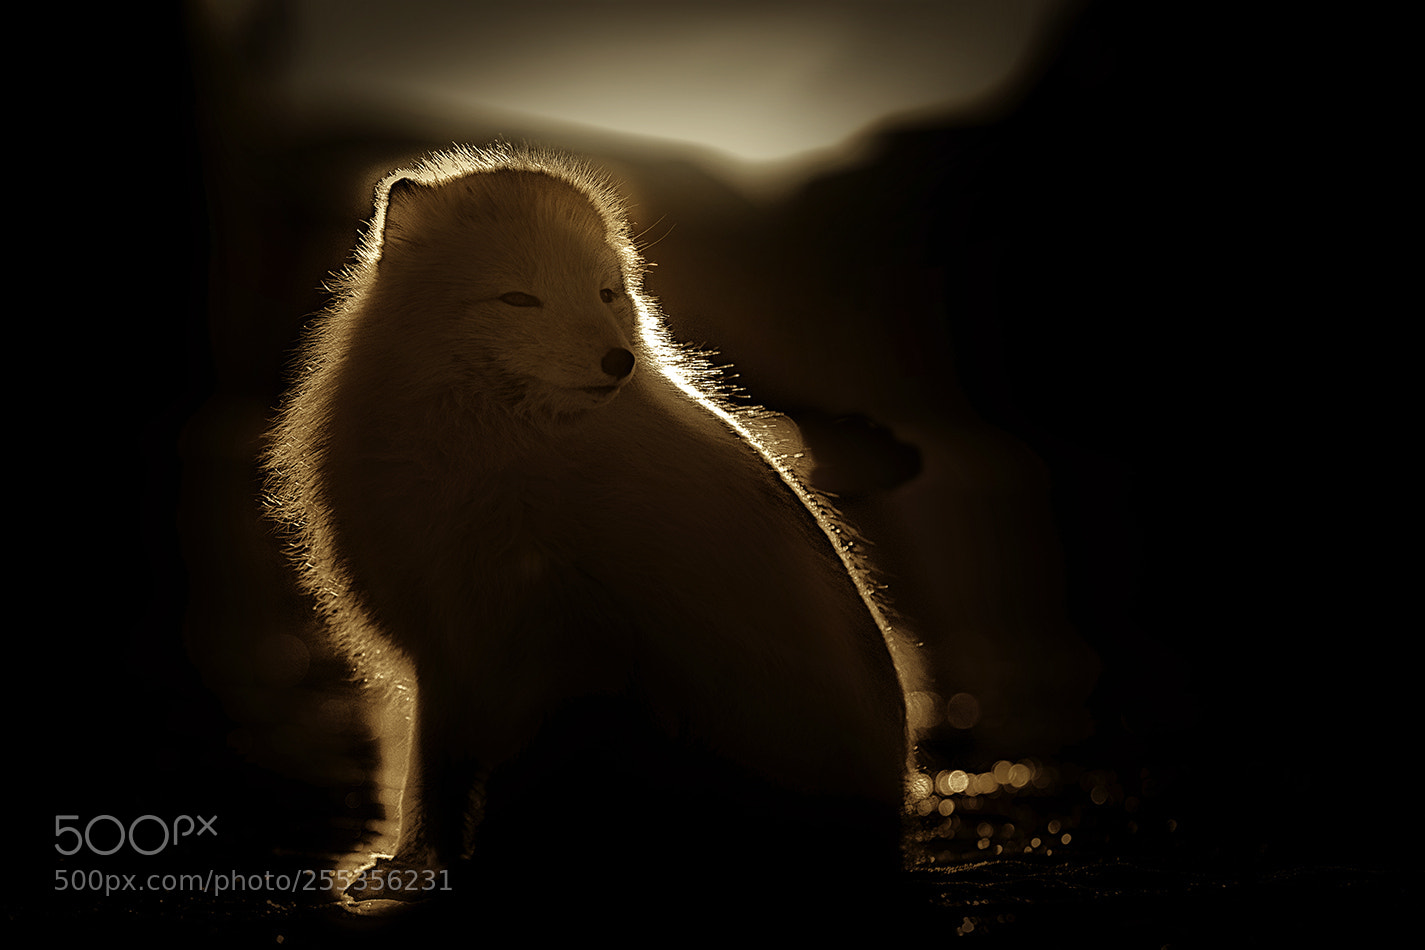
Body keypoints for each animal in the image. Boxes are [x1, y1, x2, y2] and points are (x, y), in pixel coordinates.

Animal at [263, 144, 922, 908]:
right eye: (519, 299)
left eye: (607, 294)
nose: (619, 361)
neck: (507, 443)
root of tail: (887, 825)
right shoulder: (449, 649)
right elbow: (430, 778)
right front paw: (413, 865)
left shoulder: (537, 650)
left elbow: (459, 781)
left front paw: (435, 870)